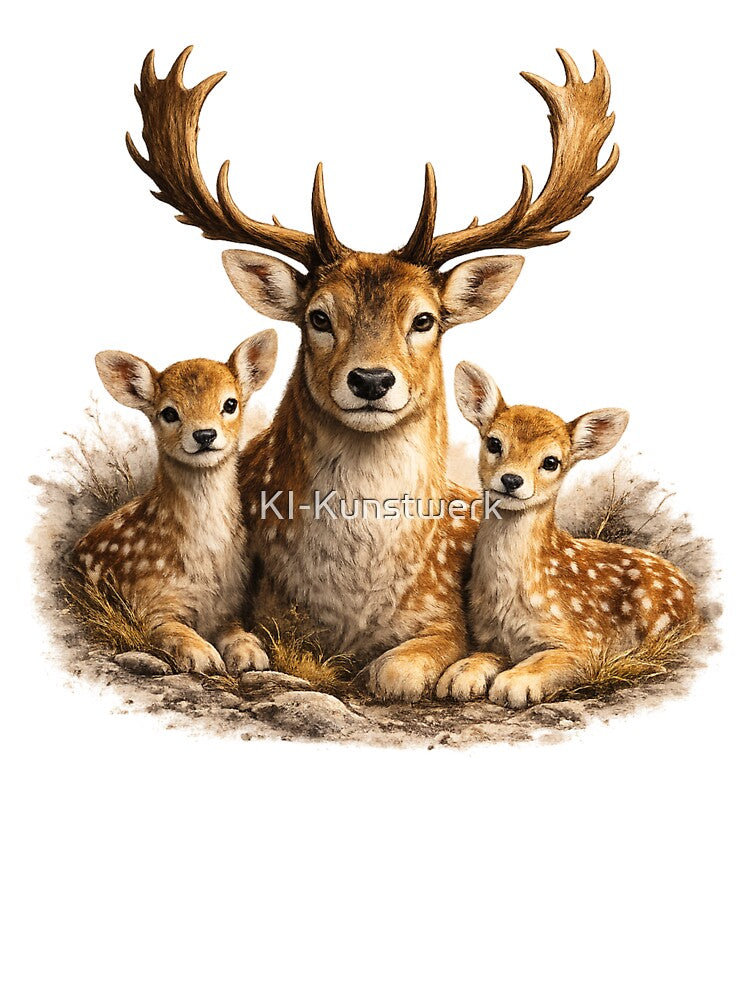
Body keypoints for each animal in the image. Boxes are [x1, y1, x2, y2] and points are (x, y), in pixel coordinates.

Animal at [73, 330, 278, 676]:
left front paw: (250, 653)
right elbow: (170, 629)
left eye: (230, 403)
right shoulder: (146, 602)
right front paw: (202, 655)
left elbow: (236, 630)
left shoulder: (230, 606)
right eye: (169, 412)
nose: (205, 434)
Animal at [125, 46, 619, 701]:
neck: (351, 604)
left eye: (424, 319)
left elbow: (397, 670)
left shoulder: (445, 617)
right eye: (319, 316)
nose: (371, 381)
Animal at [436, 362, 698, 707]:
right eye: (494, 443)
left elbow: (556, 660)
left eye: (551, 461)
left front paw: (514, 684)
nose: (511, 479)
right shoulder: (491, 639)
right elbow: (483, 656)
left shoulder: (588, 642)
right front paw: (459, 675)